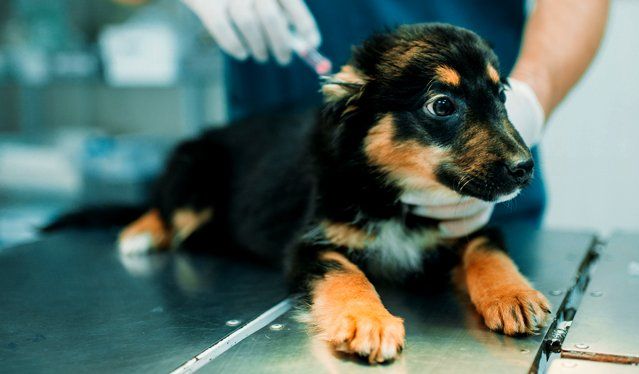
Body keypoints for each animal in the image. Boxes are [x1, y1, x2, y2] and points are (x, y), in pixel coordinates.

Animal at [119, 23, 552, 362]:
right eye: (442, 105)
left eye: (502, 97)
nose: (524, 168)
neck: (394, 198)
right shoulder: (310, 245)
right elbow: (346, 273)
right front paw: (367, 320)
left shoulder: (467, 223)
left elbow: (486, 249)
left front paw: (513, 295)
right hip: (194, 171)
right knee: (166, 208)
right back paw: (139, 233)